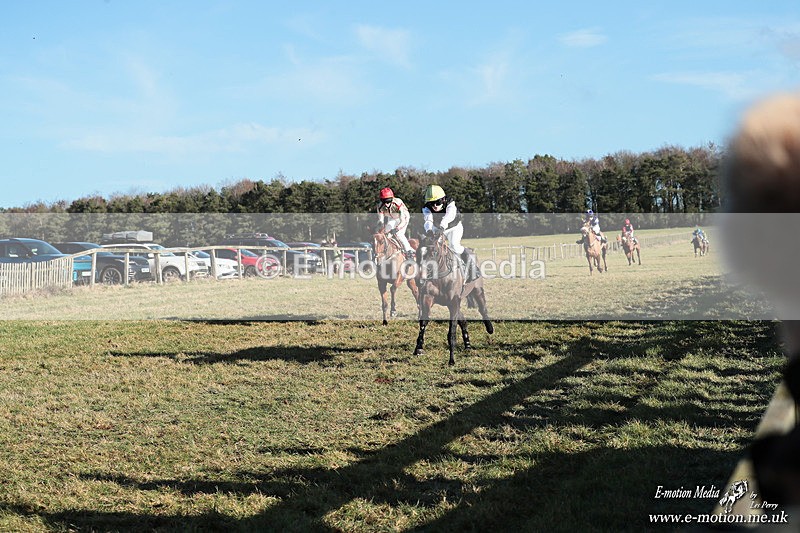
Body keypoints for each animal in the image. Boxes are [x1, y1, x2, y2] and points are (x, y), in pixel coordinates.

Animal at [413, 232, 493, 366]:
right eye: (418, 252)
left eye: (433, 252)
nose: (420, 280)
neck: (441, 278)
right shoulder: (427, 298)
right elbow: (423, 322)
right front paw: (418, 348)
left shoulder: (454, 302)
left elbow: (452, 332)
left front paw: (451, 359)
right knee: (463, 320)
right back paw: (467, 345)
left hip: (477, 291)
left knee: (483, 309)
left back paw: (490, 328)